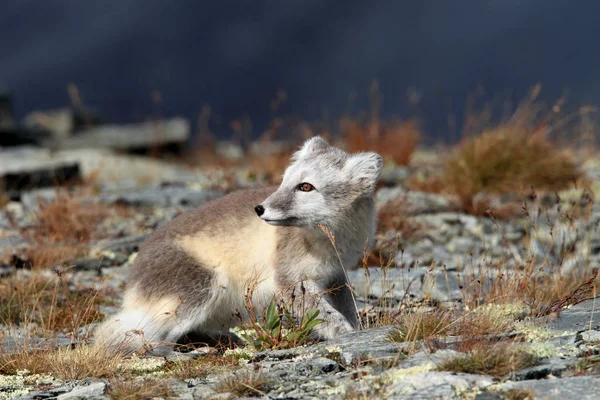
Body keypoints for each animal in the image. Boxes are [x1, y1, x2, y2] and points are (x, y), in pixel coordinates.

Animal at [95, 137, 382, 354]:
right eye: (283, 181)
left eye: (306, 186)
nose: (259, 209)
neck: (329, 239)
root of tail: (133, 279)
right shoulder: (290, 280)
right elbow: (326, 313)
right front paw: (346, 333)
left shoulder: (336, 275)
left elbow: (348, 306)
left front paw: (358, 330)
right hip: (202, 286)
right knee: (145, 338)